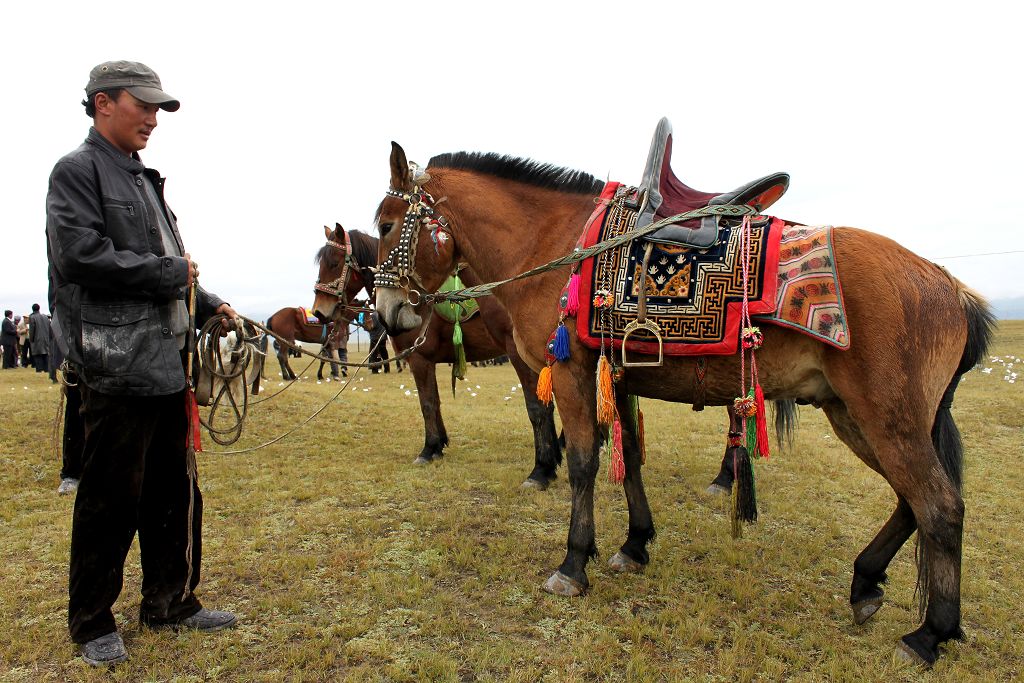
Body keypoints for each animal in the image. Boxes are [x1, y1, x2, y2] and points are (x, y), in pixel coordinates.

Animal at [313, 224, 569, 485]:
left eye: (334, 263)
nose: (319, 311)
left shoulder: (419, 359)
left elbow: (427, 403)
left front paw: (429, 448)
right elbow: (435, 402)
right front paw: (439, 445)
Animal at [374, 136, 991, 663]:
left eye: (385, 224)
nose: (389, 314)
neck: (556, 242)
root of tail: (950, 286)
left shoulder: (572, 373)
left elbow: (582, 464)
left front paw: (573, 563)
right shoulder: (617, 377)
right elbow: (629, 463)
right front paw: (635, 544)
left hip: (886, 418)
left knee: (940, 505)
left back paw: (930, 634)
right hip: (858, 416)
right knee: (912, 501)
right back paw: (866, 582)